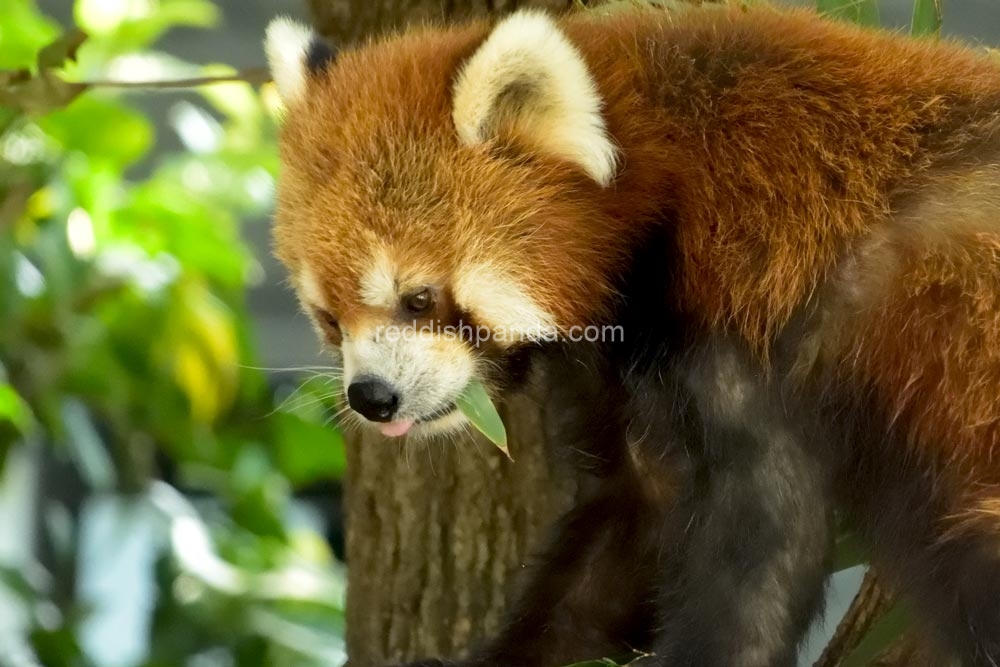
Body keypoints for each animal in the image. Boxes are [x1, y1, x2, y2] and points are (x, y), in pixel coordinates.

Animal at [262, 5, 996, 667]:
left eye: (418, 298)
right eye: (330, 318)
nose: (371, 396)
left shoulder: (750, 317)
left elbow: (762, 541)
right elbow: (627, 531)